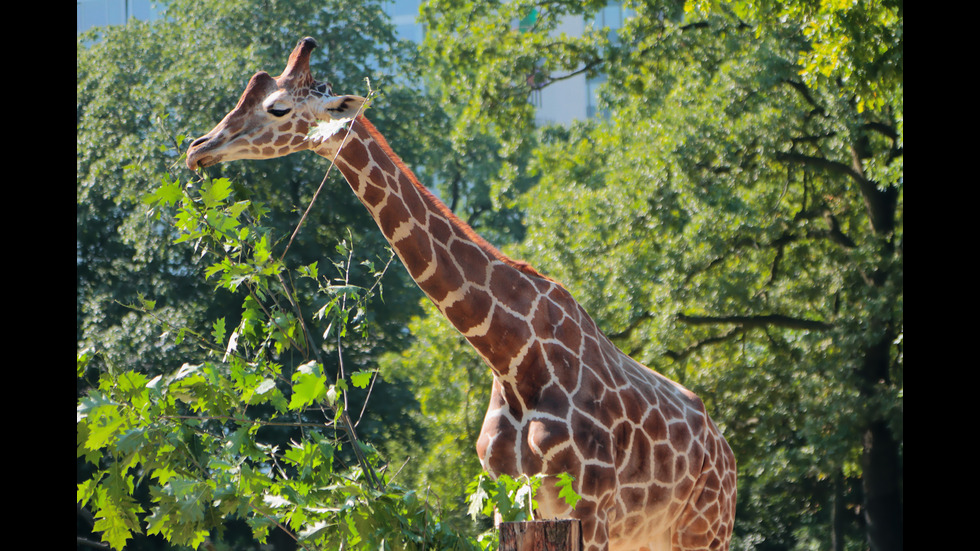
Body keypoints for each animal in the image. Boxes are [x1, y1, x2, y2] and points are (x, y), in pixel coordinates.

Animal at [186, 36, 736, 548]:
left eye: (277, 108)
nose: (198, 147)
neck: (514, 360)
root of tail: (725, 452)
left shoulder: (589, 505)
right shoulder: (504, 497)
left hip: (702, 531)